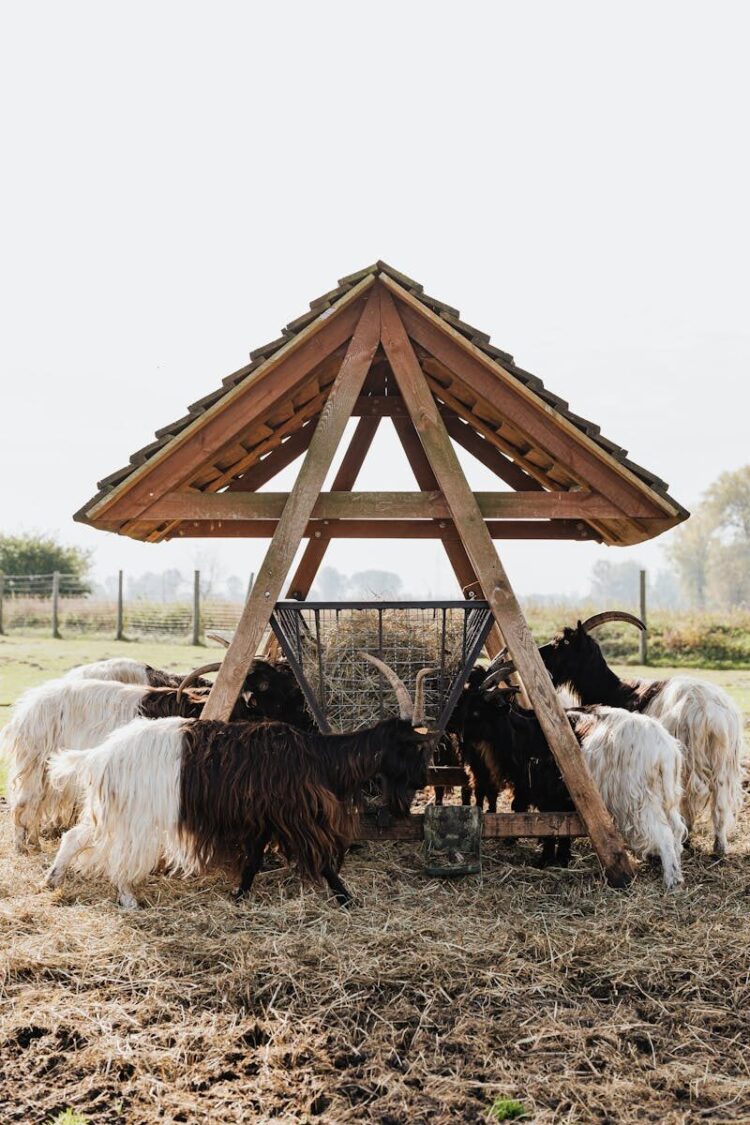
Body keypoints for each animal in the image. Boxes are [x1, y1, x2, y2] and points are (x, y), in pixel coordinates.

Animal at [44, 660, 433, 909]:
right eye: (413, 746)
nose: (422, 779)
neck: (316, 758)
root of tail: (99, 754)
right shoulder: (294, 817)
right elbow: (322, 862)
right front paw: (346, 898)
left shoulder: (264, 818)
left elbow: (254, 860)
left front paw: (240, 896)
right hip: (134, 815)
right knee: (110, 851)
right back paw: (127, 898)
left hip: (113, 810)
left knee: (76, 835)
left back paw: (52, 880)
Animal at [485, 611, 745, 856]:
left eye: (563, 643)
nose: (540, 657)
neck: (615, 690)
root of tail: (712, 715)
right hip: (724, 763)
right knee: (720, 801)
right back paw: (719, 846)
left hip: (690, 759)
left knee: (688, 797)